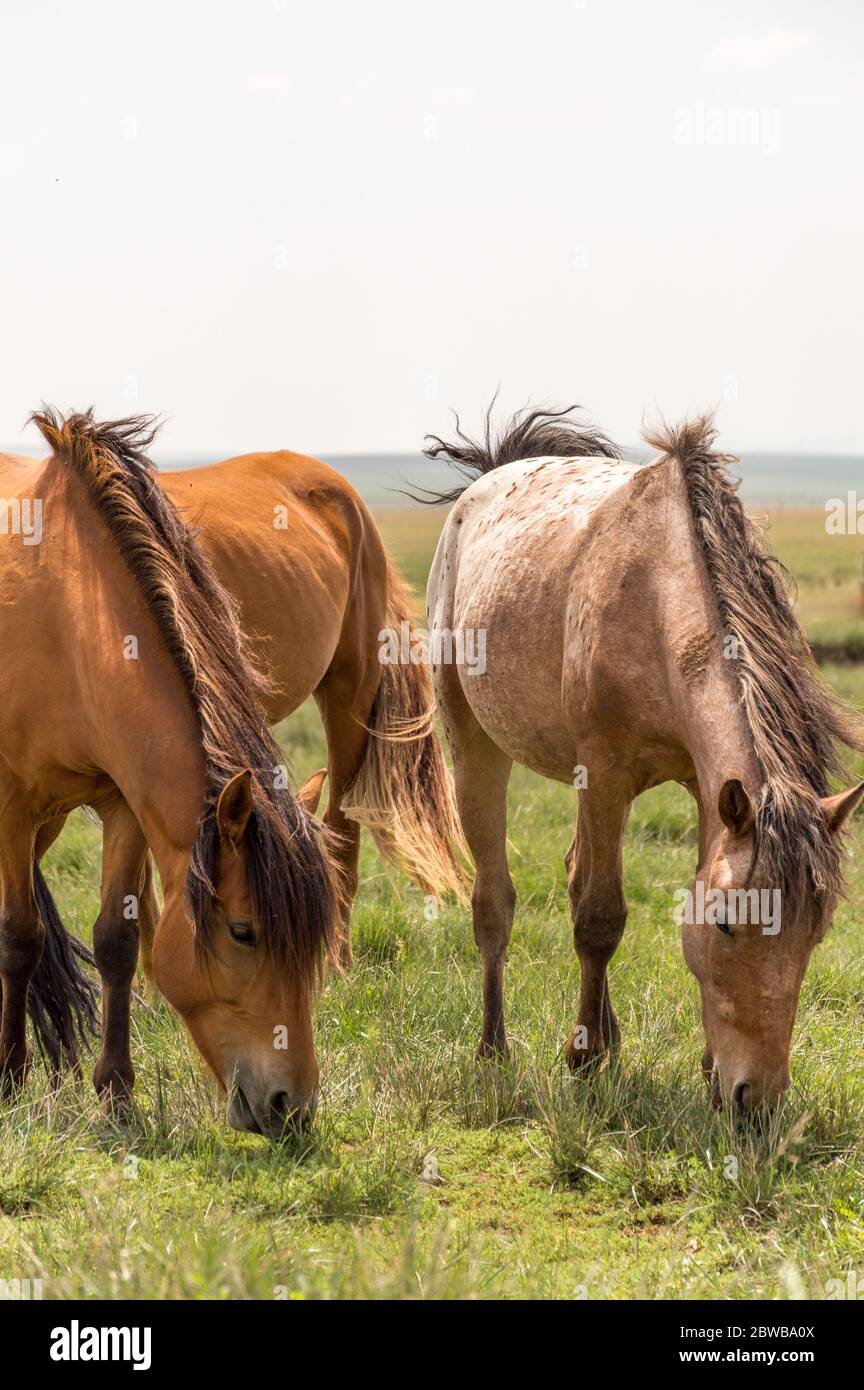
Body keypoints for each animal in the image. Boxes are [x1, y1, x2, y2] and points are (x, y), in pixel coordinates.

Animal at [0, 408, 343, 1138]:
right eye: (243, 932)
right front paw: (9, 1078)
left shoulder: (124, 803)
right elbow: (18, 937)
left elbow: (118, 941)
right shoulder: (11, 806)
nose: (292, 1107)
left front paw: (116, 1094)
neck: (66, 611)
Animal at [425, 405, 864, 1113]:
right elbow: (599, 917)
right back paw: (495, 1050)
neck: (657, 596)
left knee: (573, 871)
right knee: (495, 899)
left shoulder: (706, 790)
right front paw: (581, 1060)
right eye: (724, 925)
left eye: (816, 932)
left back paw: (608, 1036)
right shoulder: (603, 773)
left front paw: (695, 1068)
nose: (756, 1101)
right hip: (475, 745)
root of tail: (490, 477)